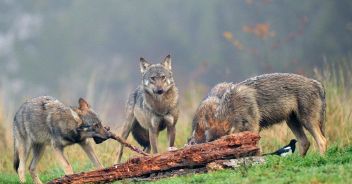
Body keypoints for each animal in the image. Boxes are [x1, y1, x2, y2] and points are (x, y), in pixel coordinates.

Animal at [188, 73, 328, 155]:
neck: (233, 107)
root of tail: (317, 83)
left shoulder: (254, 128)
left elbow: (257, 150)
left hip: (307, 121)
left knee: (322, 141)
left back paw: (321, 159)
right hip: (292, 122)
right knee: (305, 143)